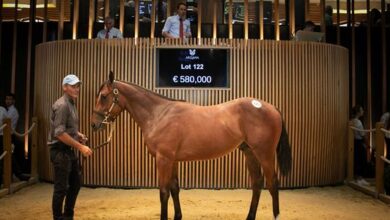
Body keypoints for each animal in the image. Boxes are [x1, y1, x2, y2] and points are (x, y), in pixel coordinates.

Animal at [91, 71, 290, 219]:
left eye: (104, 96)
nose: (94, 124)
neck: (159, 114)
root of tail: (271, 108)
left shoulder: (163, 159)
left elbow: (163, 192)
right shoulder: (172, 160)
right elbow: (174, 189)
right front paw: (178, 216)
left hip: (265, 154)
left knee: (273, 184)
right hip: (250, 153)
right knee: (257, 184)